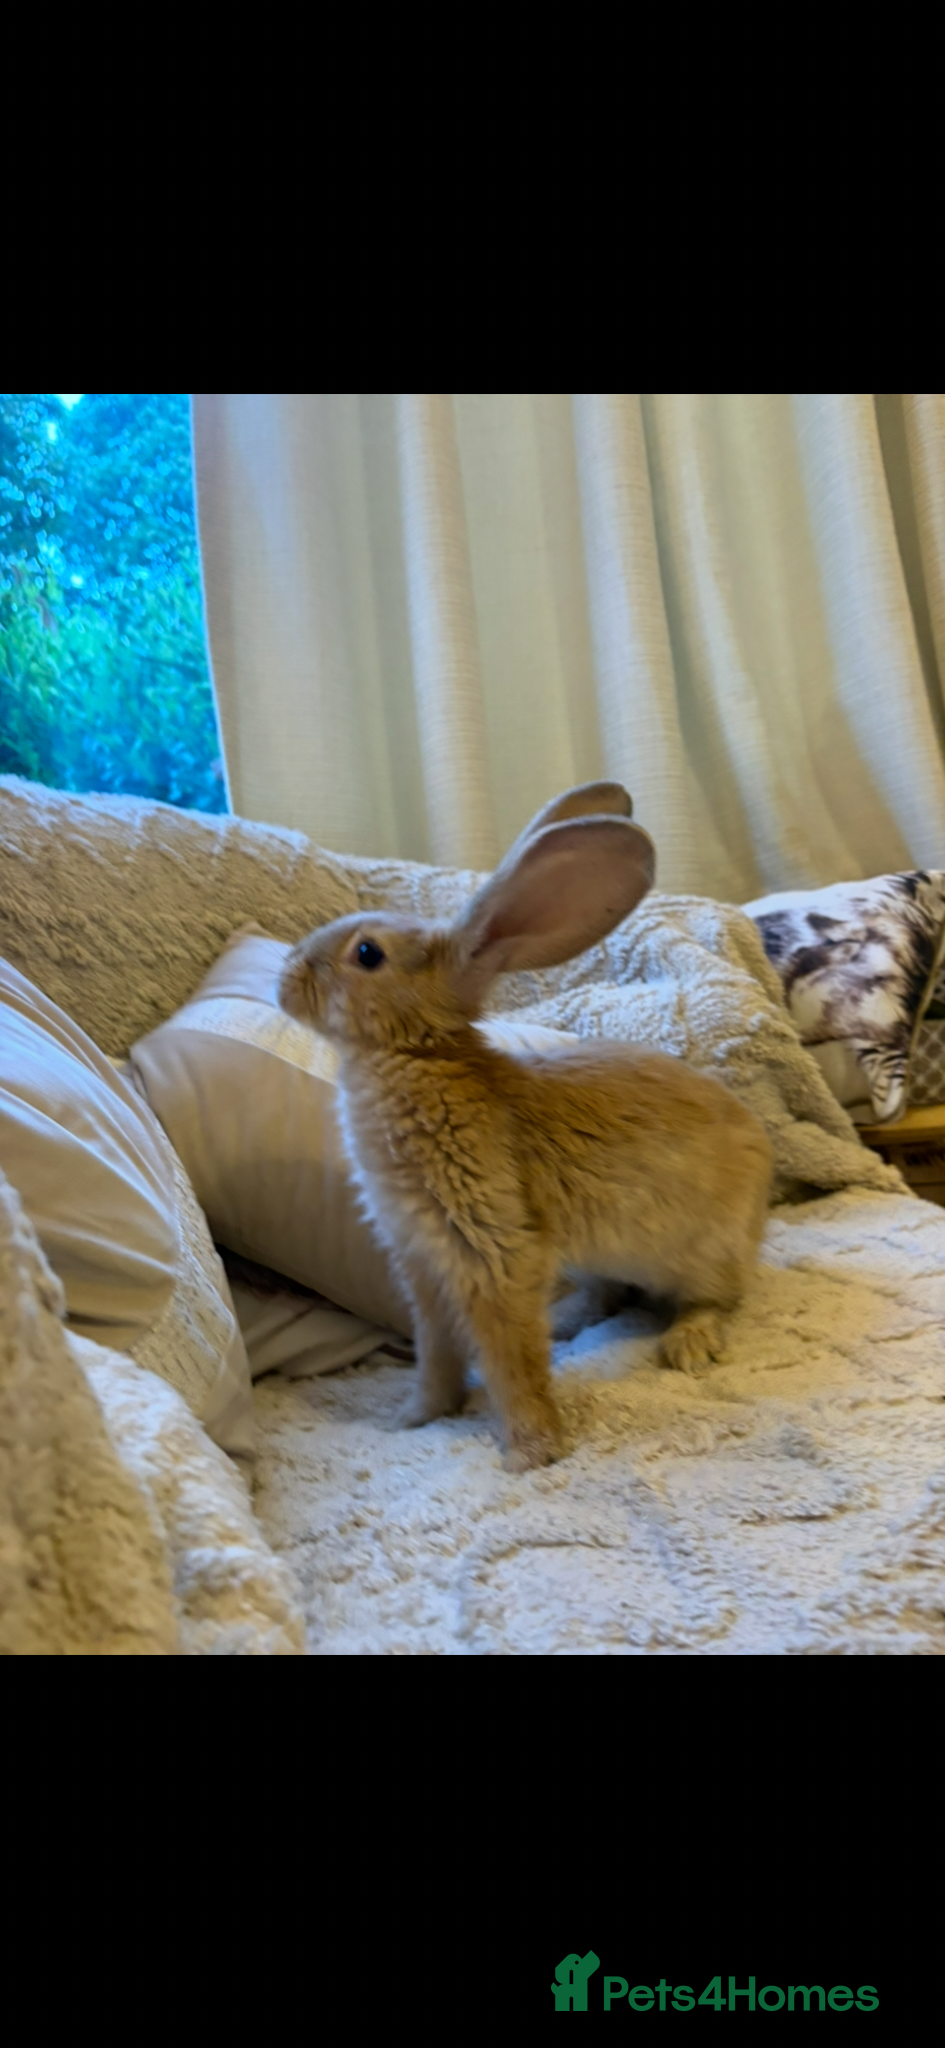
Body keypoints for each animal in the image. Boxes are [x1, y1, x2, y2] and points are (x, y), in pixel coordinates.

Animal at [279, 782, 773, 1471]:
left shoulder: (494, 1250)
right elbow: (437, 1351)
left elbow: (510, 1358)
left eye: (368, 954)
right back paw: (570, 1323)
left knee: (717, 1298)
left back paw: (687, 1344)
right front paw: (416, 1417)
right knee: (612, 1295)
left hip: (706, 1252)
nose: (285, 978)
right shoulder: (423, 1264)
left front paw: (531, 1453)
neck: (419, 1056)